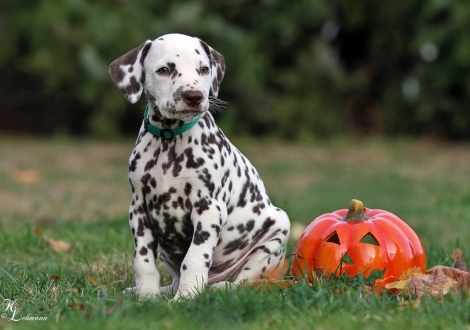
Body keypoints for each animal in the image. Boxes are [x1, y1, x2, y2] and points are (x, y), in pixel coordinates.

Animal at [109, 33, 290, 300]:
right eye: (164, 70)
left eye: (204, 69)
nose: (194, 96)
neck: (169, 140)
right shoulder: (139, 209)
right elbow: (143, 260)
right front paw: (146, 295)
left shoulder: (208, 209)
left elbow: (194, 258)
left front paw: (186, 297)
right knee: (173, 280)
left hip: (276, 234)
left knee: (244, 280)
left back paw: (219, 288)